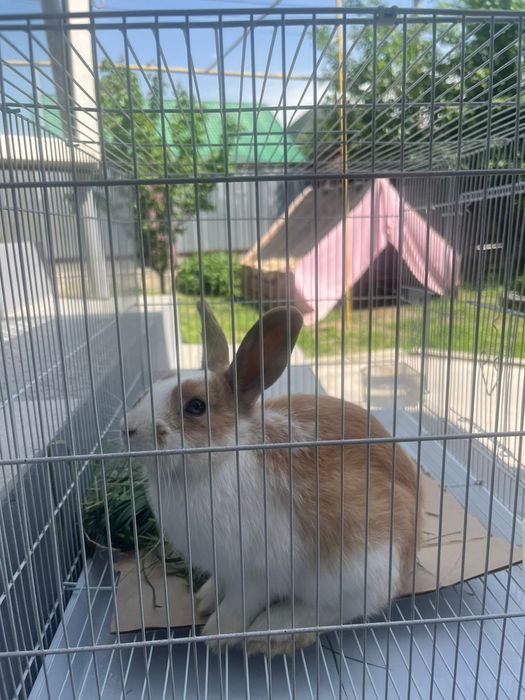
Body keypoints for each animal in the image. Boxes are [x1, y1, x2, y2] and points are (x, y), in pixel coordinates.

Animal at [123, 301, 422, 656]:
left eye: (196, 406)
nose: (127, 428)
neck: (218, 462)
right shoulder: (224, 568)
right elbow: (219, 586)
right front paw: (203, 600)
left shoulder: (256, 575)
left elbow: (238, 606)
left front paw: (215, 635)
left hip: (362, 567)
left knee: (338, 609)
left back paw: (272, 631)